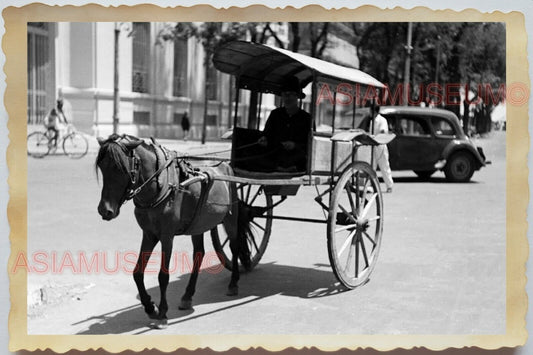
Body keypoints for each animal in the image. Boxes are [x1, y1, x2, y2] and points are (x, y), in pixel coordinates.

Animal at [95, 135, 249, 330]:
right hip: (198, 224)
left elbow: (163, 275)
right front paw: (150, 307)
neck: (160, 186)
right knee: (199, 254)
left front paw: (162, 313)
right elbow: (137, 272)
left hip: (230, 216)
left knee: (235, 246)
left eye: (120, 168)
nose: (104, 210)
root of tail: (225, 165)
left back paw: (233, 283)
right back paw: (187, 296)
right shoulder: (149, 234)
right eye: (102, 167)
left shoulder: (167, 236)